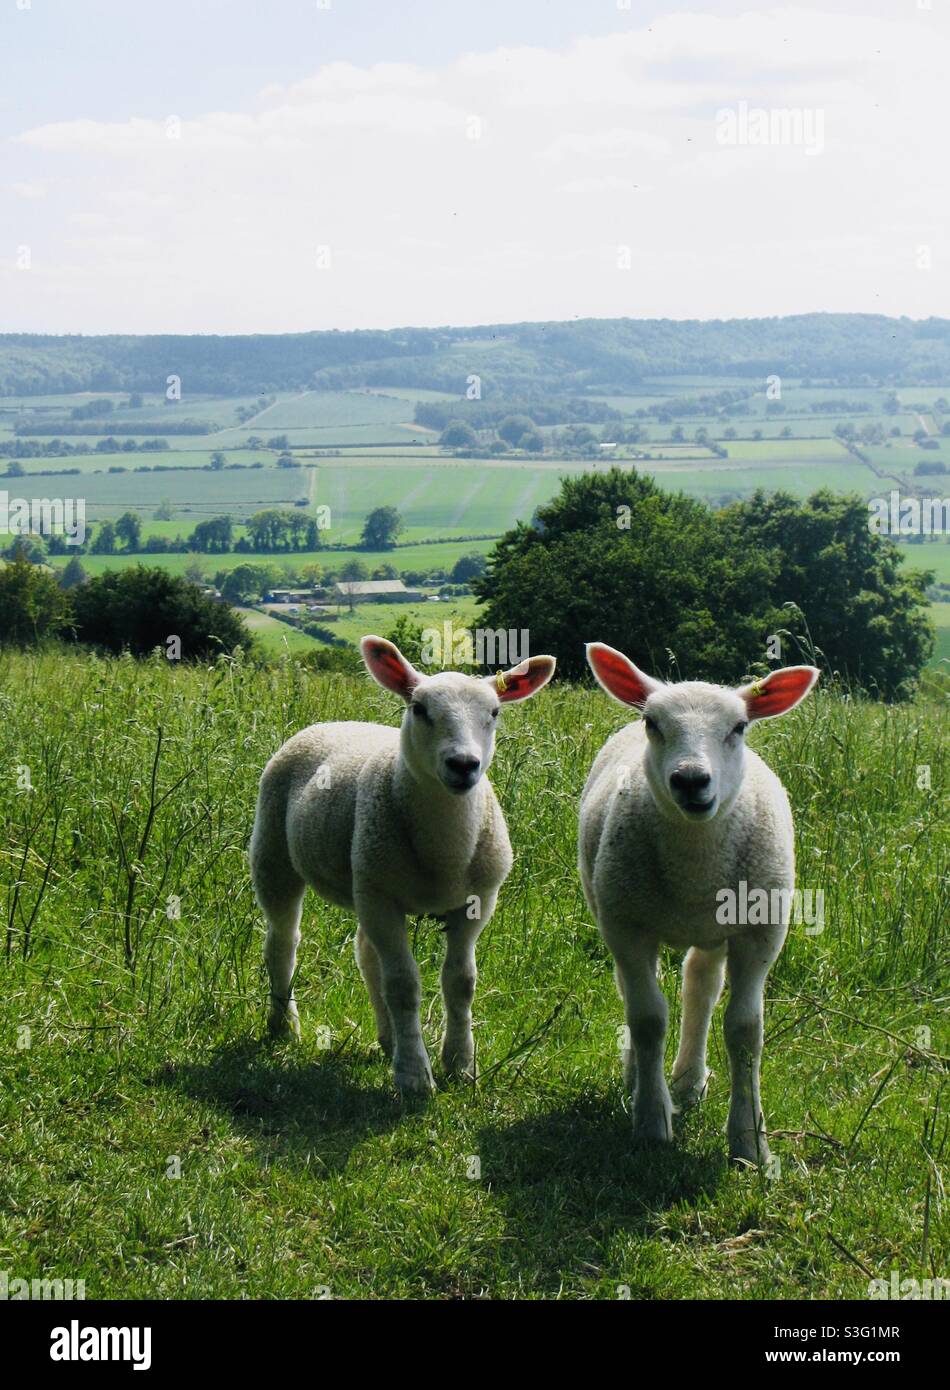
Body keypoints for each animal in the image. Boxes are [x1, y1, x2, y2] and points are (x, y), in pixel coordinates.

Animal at [250, 635, 556, 1095]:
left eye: (495, 713)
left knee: (366, 954)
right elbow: (403, 985)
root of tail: (331, 723)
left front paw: (459, 1064)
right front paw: (414, 1076)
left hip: (363, 881)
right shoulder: (381, 898)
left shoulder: (477, 902)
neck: (444, 851)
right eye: (419, 709)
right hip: (275, 855)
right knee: (282, 943)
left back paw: (387, 1037)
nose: (464, 765)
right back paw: (284, 1025)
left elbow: (460, 982)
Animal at [578, 642, 819, 1164]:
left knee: (699, 984)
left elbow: (745, 1031)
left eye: (739, 727)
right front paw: (651, 1122)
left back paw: (688, 1081)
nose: (691, 780)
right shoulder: (627, 927)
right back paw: (642, 1079)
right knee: (639, 992)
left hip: (714, 929)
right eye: (653, 723)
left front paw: (749, 1142)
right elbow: (647, 1019)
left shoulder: (760, 932)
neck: (694, 868)